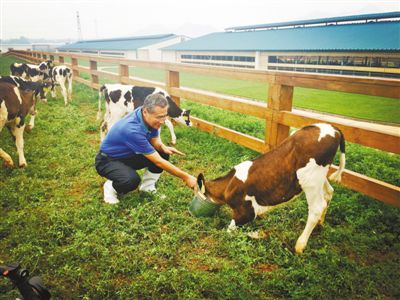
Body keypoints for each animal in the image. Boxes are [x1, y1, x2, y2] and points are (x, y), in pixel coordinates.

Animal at [198, 123, 346, 253]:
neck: (228, 185)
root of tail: (333, 128)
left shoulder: (246, 212)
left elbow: (229, 230)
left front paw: (255, 235)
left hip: (311, 180)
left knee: (317, 208)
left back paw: (300, 246)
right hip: (320, 177)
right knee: (329, 192)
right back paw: (320, 224)